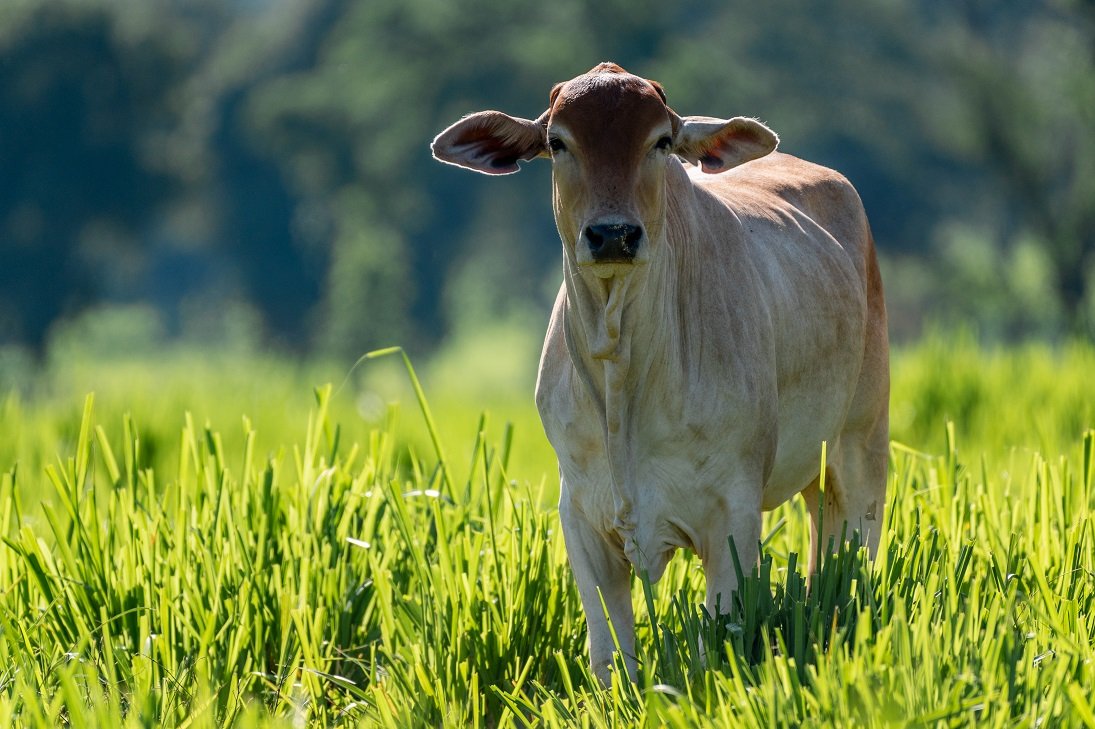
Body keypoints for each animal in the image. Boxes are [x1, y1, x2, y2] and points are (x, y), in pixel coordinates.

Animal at [431, 61, 884, 683]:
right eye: (557, 142)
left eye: (661, 142)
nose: (613, 235)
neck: (621, 368)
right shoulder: (581, 516)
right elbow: (609, 657)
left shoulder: (732, 517)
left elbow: (716, 644)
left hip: (862, 444)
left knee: (854, 553)